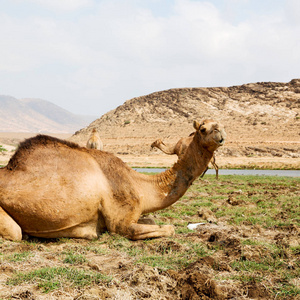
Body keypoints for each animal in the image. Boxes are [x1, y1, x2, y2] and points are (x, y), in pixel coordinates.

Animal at [0, 119, 225, 241]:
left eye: (219, 124)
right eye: (203, 129)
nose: (220, 132)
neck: (138, 183)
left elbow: (152, 220)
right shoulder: (120, 221)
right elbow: (168, 229)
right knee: (16, 233)